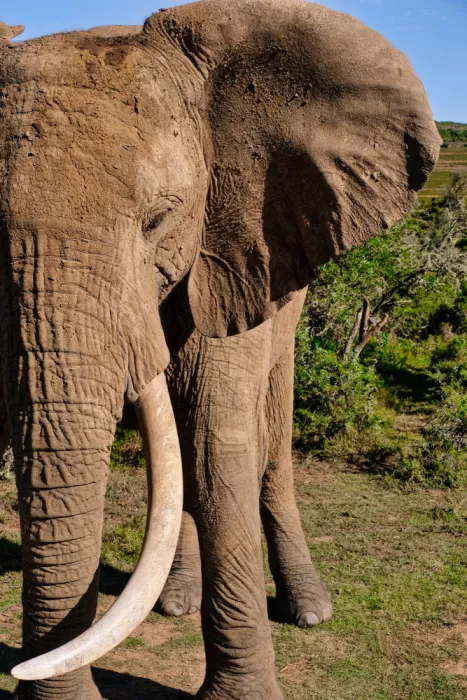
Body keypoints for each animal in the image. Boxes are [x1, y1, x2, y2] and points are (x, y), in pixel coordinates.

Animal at [0, 0, 440, 698]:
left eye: (159, 219)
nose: (23, 672)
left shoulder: (237, 242)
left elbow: (216, 440)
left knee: (269, 438)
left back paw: (309, 610)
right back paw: (174, 601)